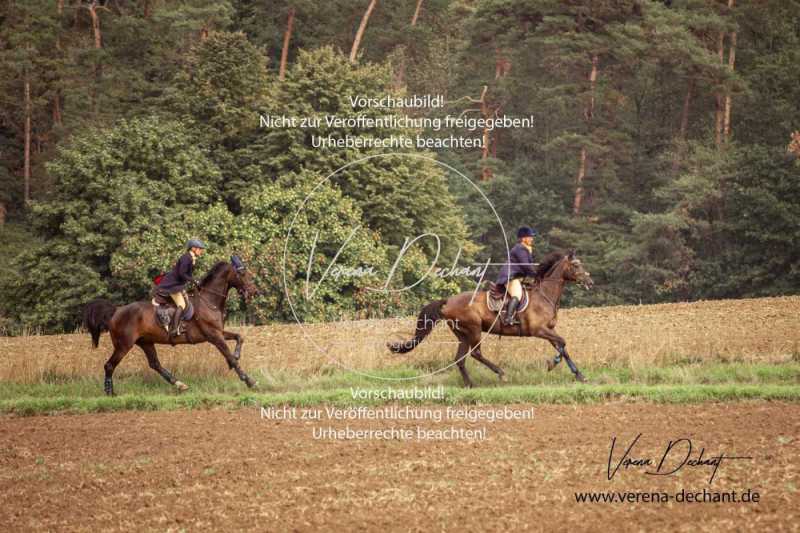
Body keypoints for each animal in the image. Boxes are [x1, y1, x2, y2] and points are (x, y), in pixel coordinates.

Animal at [81, 258, 258, 394]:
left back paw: (180, 384)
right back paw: (110, 392)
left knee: (155, 364)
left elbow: (239, 338)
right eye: (242, 274)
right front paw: (249, 380)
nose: (254, 292)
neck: (209, 301)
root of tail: (116, 311)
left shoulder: (218, 332)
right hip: (124, 345)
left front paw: (236, 356)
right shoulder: (213, 335)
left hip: (145, 342)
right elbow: (229, 355)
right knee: (109, 365)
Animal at [388, 249, 592, 386]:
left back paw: (470, 384)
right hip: (474, 329)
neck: (545, 295)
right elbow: (563, 343)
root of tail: (448, 301)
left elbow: (563, 347)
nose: (590, 282)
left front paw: (579, 375)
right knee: (475, 353)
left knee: (460, 359)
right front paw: (552, 364)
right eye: (576, 265)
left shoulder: (549, 330)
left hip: (462, 334)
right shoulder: (539, 330)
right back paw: (500, 373)